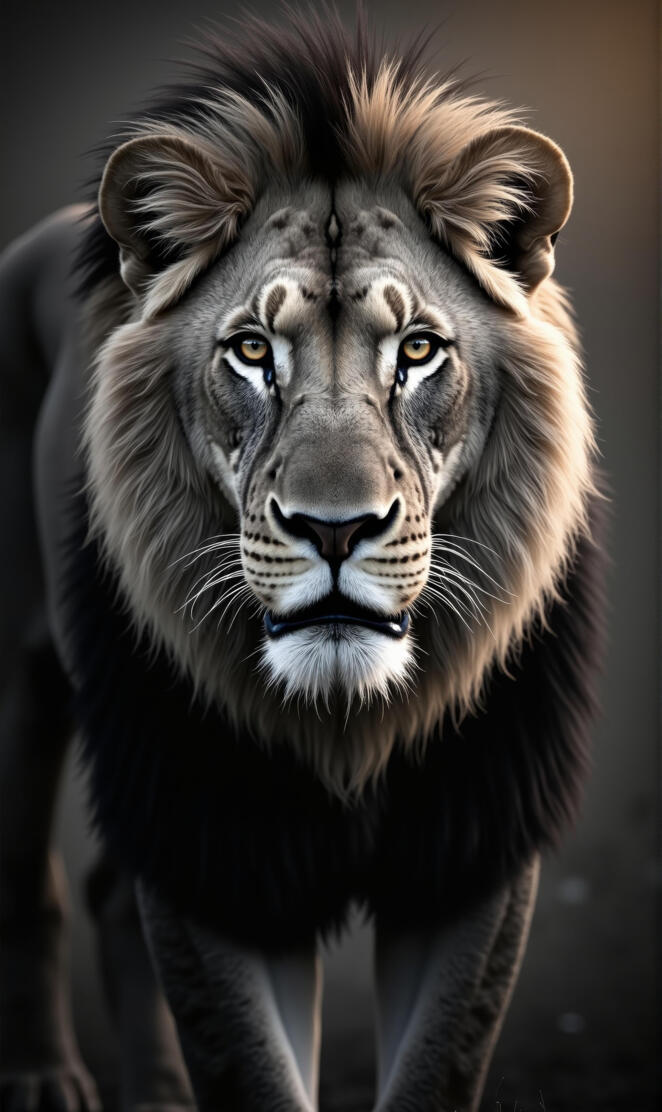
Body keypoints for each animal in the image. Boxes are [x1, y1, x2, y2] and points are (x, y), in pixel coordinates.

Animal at [0, 8, 605, 1111]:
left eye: (417, 351)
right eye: (250, 351)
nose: (334, 528)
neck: (344, 724)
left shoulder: (474, 842)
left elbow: (439, 1064)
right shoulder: (216, 833)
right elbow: (248, 1065)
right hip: (23, 679)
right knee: (32, 877)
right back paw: (41, 1074)